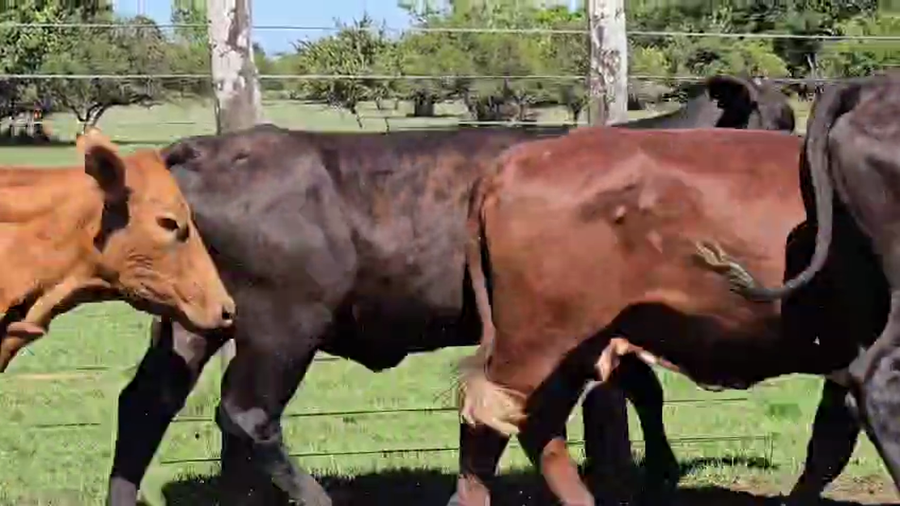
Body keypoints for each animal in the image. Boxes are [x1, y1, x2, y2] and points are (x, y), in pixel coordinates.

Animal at [102, 75, 796, 506]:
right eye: (771, 121)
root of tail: (207, 148)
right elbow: (641, 389)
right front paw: (660, 470)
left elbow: (638, 390)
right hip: (283, 324)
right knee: (246, 415)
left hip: (191, 321)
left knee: (144, 403)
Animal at [451, 124, 881, 505]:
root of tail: (514, 160)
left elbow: (828, 445)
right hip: (532, 346)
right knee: (486, 426)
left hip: (575, 350)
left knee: (535, 425)